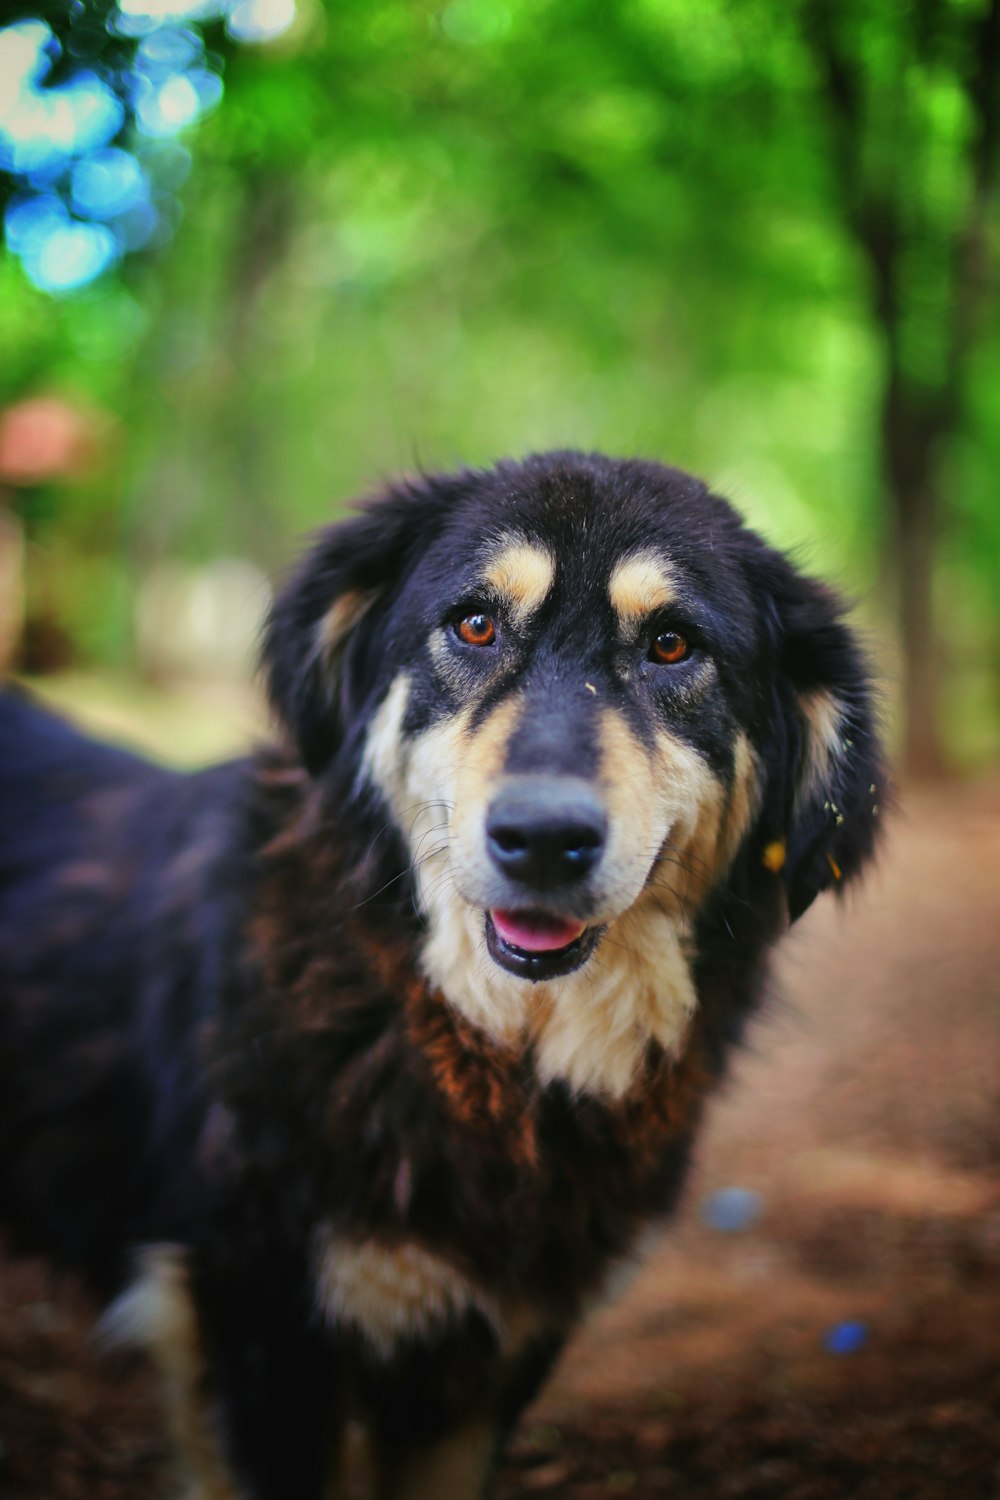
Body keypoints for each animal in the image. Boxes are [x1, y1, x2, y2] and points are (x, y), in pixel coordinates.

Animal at [0, 453, 881, 1500]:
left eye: (673, 646)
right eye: (474, 624)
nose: (544, 838)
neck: (479, 1042)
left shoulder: (485, 1365)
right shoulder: (262, 1337)